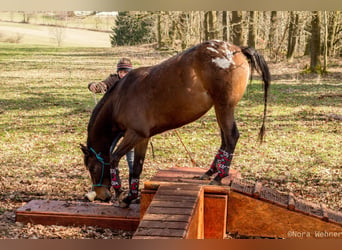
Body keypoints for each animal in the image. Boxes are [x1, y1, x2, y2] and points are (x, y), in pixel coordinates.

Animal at [80, 40, 270, 208]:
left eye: (92, 168)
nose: (102, 196)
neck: (120, 98)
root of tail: (236, 49)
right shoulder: (142, 138)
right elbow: (136, 168)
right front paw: (130, 197)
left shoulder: (134, 134)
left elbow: (114, 158)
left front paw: (120, 191)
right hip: (220, 109)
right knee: (225, 139)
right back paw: (210, 172)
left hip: (224, 107)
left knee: (231, 137)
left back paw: (218, 177)